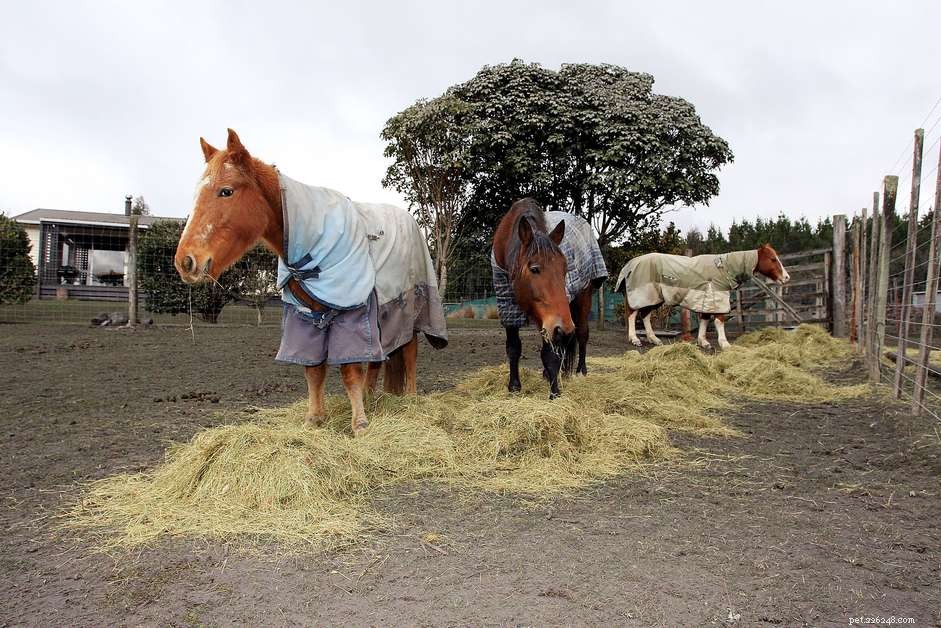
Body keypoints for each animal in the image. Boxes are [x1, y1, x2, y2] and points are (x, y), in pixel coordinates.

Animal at [175, 129, 448, 437]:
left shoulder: (352, 313)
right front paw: (314, 419)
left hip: (408, 312)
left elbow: (350, 370)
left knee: (409, 354)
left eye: (226, 191)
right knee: (380, 359)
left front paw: (359, 424)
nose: (185, 261)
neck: (312, 242)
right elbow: (314, 370)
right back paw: (369, 397)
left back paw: (410, 399)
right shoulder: (305, 316)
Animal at [491, 199, 608, 399]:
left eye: (565, 269)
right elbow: (513, 347)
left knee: (581, 334)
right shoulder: (507, 303)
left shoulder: (551, 318)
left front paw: (555, 393)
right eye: (534, 269)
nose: (564, 328)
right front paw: (514, 387)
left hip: (581, 300)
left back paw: (580, 371)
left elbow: (550, 353)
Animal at [615, 244, 790, 350]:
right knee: (632, 313)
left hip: (654, 297)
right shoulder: (717, 297)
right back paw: (634, 339)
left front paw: (703, 342)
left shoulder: (707, 298)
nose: (786, 277)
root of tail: (631, 264)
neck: (723, 268)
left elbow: (705, 319)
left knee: (645, 315)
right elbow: (719, 320)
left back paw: (654, 339)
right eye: (773, 259)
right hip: (641, 295)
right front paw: (724, 343)